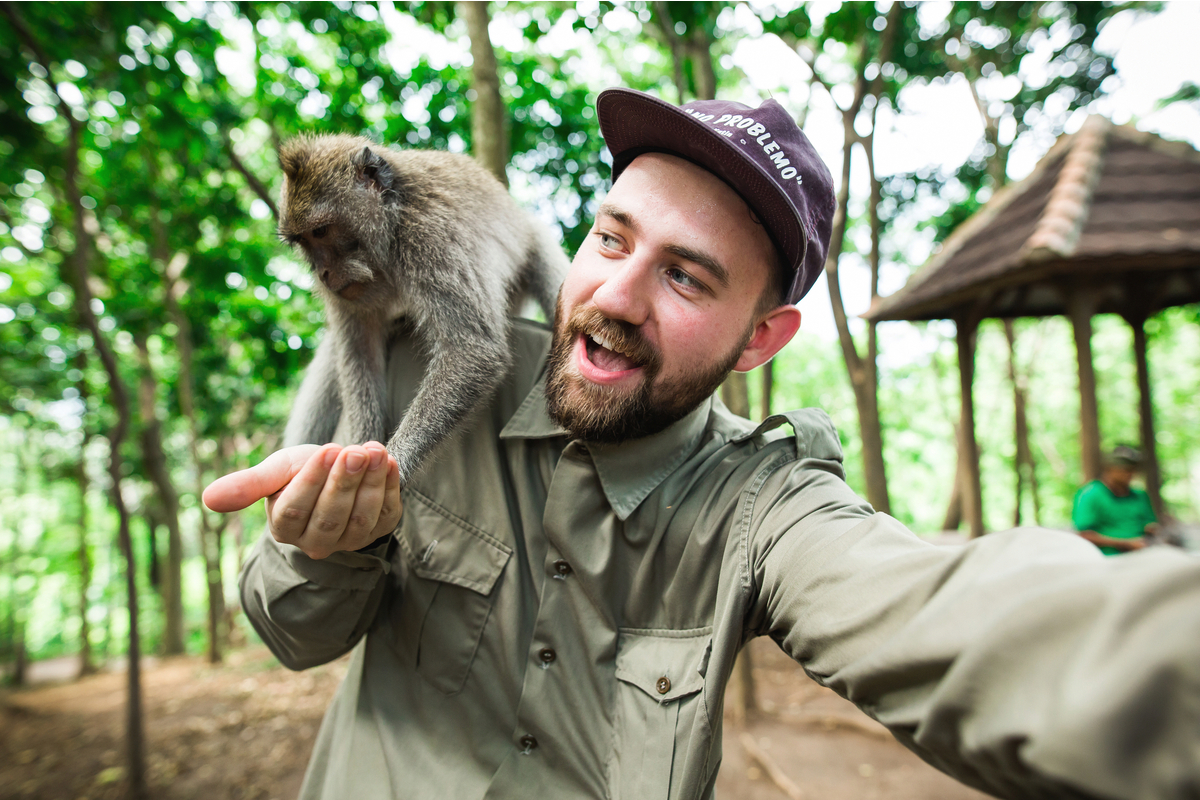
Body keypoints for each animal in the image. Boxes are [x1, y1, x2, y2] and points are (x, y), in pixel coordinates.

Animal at [276, 134, 566, 484]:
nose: (323, 273)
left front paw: (392, 465)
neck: (391, 226)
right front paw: (360, 451)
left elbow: (472, 350)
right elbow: (361, 355)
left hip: (532, 245)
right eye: (302, 241)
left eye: (320, 231)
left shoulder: (429, 239)